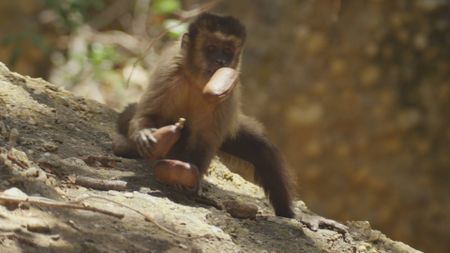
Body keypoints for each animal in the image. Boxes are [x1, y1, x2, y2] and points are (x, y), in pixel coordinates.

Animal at [112, 13, 296, 217]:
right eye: (211, 48)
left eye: (227, 51)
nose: (220, 61)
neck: (197, 81)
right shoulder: (170, 72)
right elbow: (150, 114)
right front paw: (144, 134)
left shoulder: (226, 90)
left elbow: (205, 139)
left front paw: (192, 176)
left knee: (262, 150)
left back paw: (286, 214)